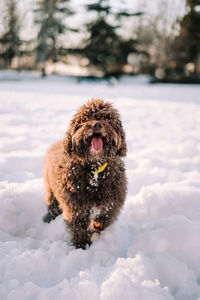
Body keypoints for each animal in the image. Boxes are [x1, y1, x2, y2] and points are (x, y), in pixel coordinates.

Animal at [43, 98, 127, 248]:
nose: (97, 124)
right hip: (50, 189)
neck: (94, 169)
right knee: (52, 205)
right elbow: (79, 225)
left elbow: (104, 219)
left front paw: (97, 229)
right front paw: (82, 245)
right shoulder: (75, 205)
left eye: (107, 118)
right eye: (86, 118)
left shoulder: (112, 202)